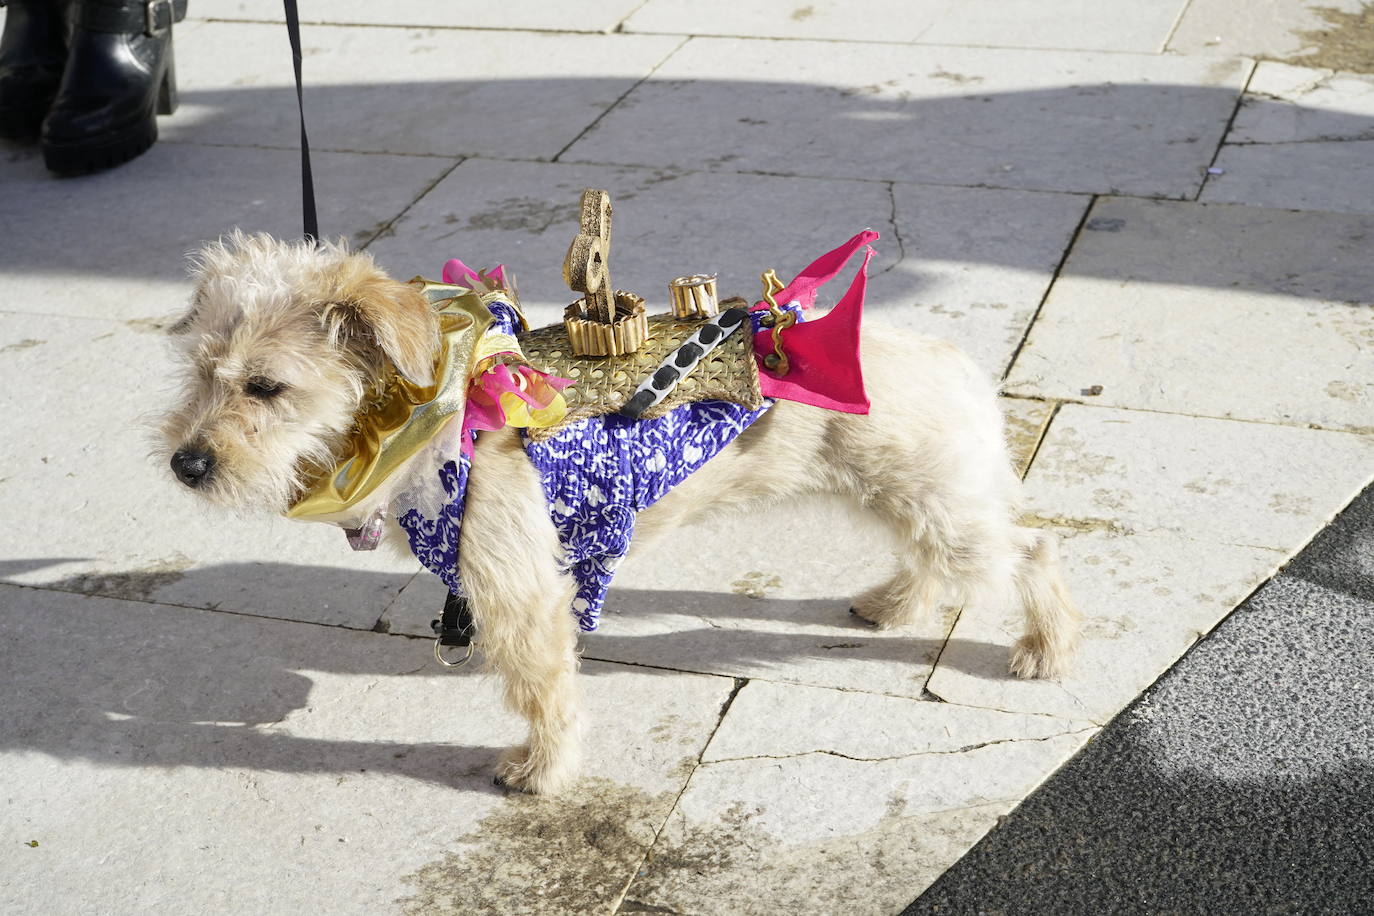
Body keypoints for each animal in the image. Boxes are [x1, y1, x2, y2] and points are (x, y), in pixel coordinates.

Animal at [160, 230, 1077, 796]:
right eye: (200, 374)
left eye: (265, 386)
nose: (186, 464)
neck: (435, 419)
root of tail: (954, 361)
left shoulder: (521, 593)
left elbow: (542, 689)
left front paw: (542, 772)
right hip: (904, 497)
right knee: (932, 556)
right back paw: (896, 604)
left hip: (939, 503)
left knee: (1032, 549)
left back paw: (1046, 646)